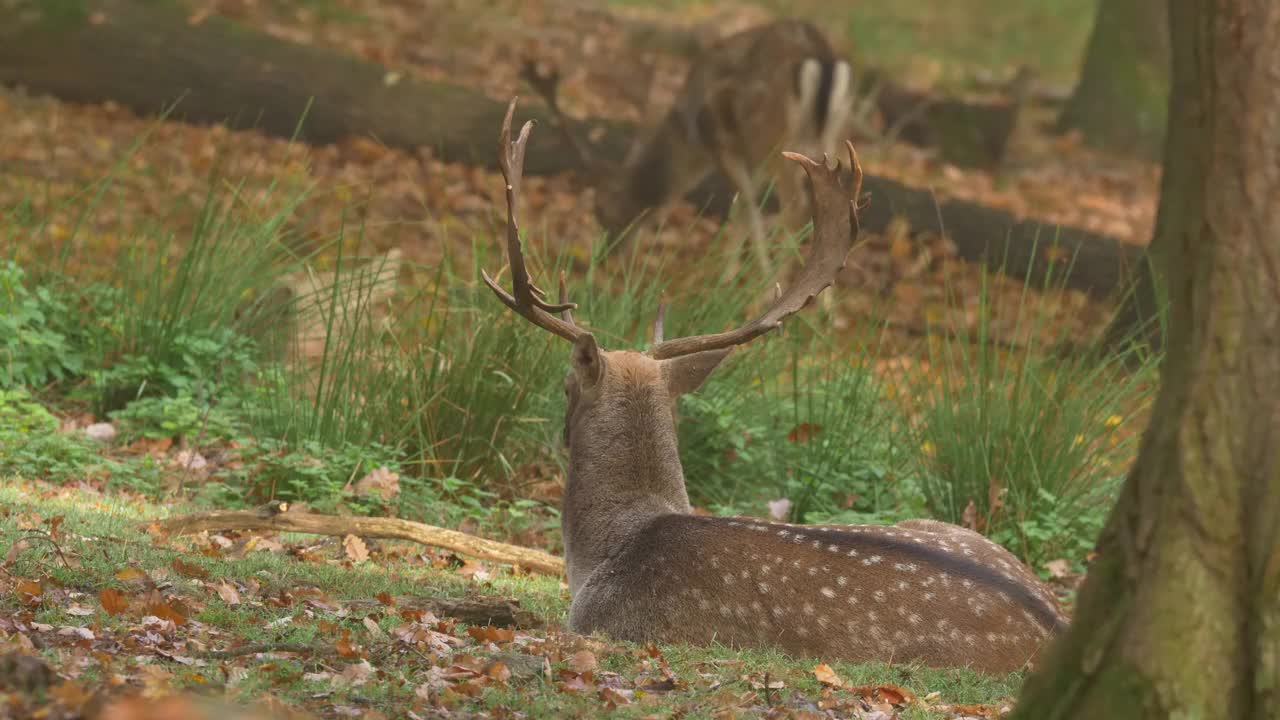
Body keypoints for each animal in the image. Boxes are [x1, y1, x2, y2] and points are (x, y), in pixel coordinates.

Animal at [524, 18, 855, 278]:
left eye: (603, 211)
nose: (606, 254)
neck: (690, 142)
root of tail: (822, 59)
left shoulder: (723, 145)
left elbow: (744, 207)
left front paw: (733, 279)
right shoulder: (745, 156)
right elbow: (744, 208)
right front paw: (733, 276)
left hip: (773, 140)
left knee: (797, 204)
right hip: (829, 138)